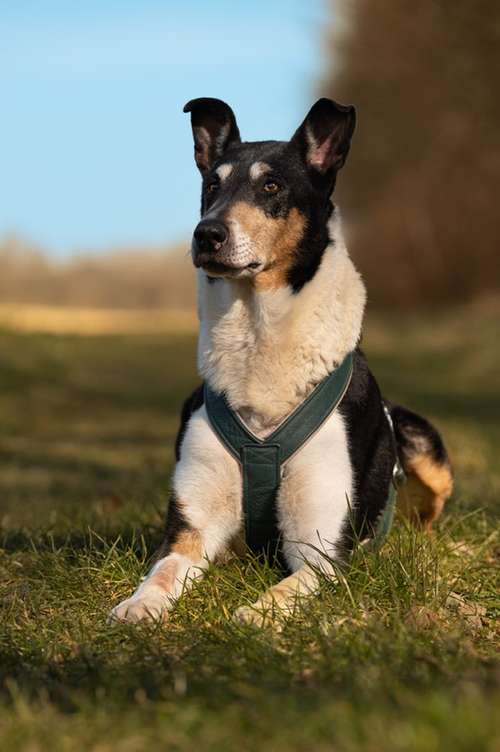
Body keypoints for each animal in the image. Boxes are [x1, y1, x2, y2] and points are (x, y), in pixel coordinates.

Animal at [110, 97, 454, 624]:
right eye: (212, 186)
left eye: (271, 186)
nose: (206, 234)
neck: (259, 337)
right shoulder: (192, 527)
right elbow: (163, 571)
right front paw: (139, 605)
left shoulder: (321, 551)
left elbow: (284, 590)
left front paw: (253, 617)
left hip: (422, 445)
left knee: (427, 518)